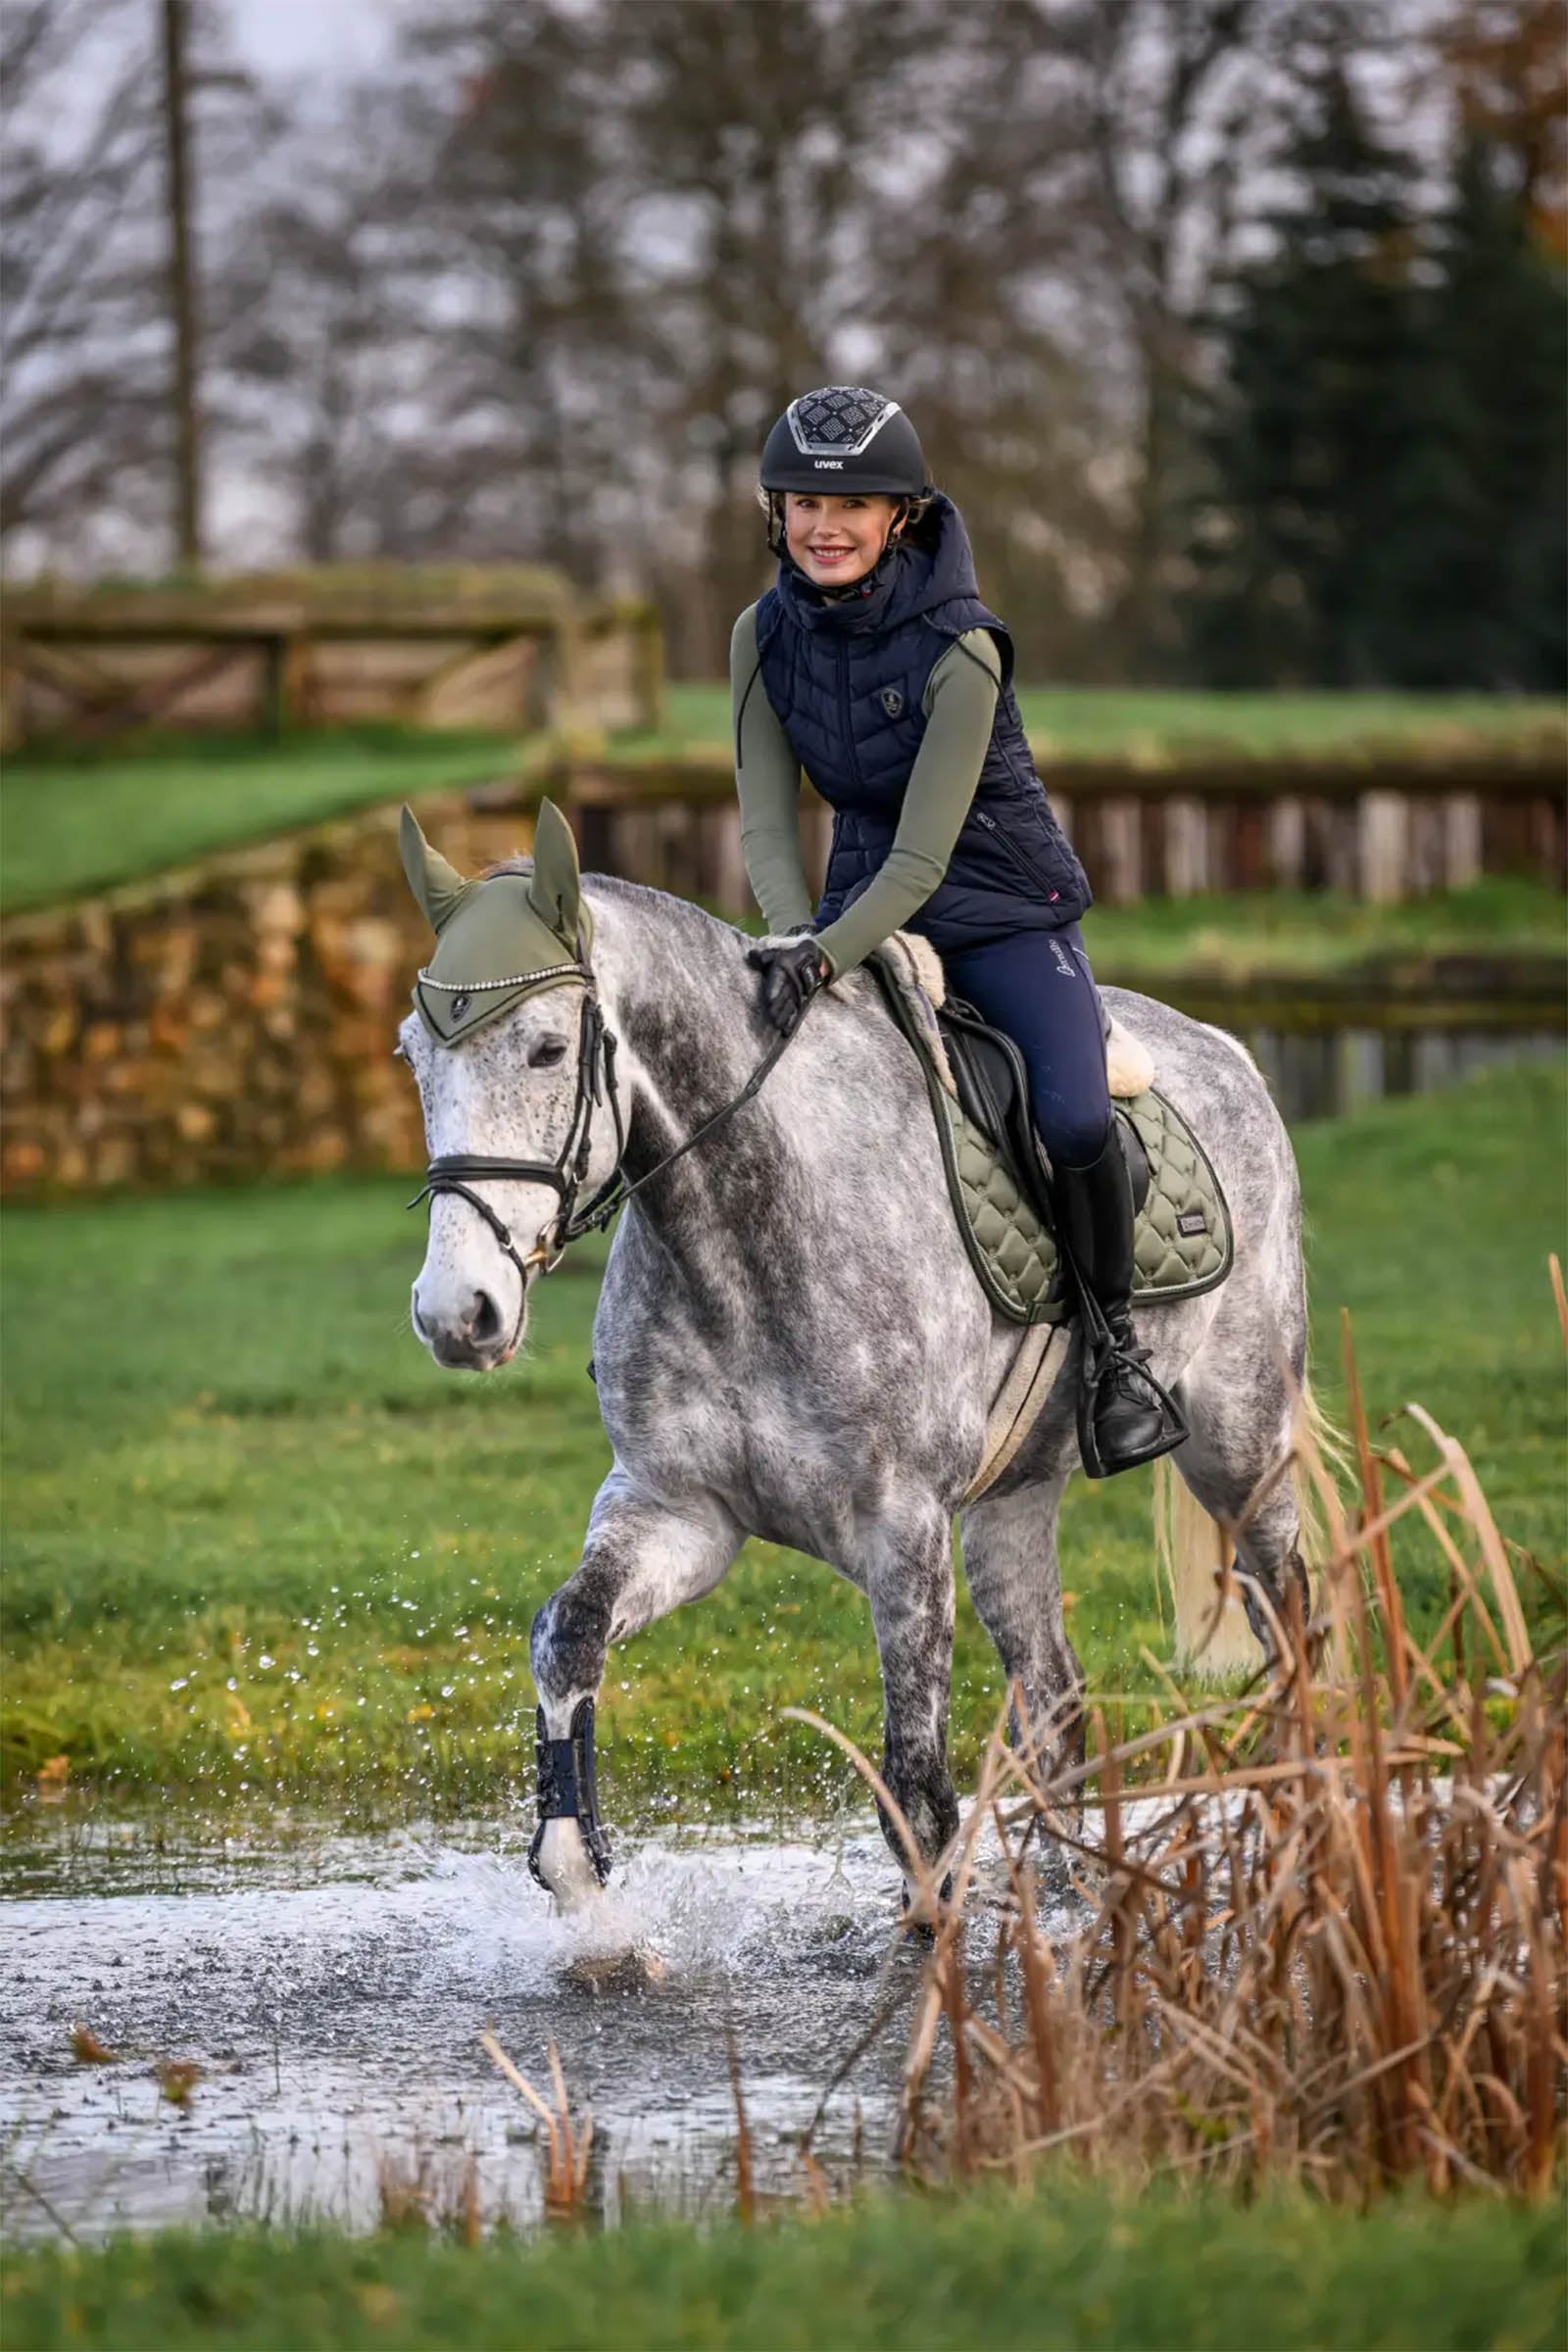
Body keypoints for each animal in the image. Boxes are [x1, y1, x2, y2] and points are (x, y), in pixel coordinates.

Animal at [398, 804, 1312, 1913]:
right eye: (413, 1055)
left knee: (1291, 1615)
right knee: (1057, 1698)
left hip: (1240, 1443)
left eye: (542, 1049)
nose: (457, 1312)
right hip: (1013, 1502)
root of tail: (1226, 1051)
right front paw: (581, 1882)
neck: (742, 1243)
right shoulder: (676, 1512)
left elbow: (915, 1796)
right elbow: (565, 1632)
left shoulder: (901, 1533)